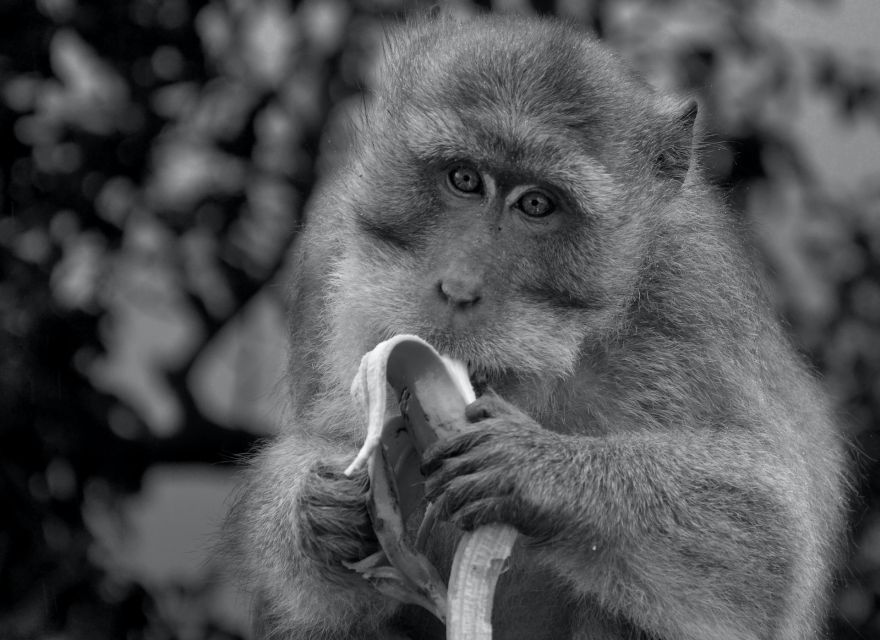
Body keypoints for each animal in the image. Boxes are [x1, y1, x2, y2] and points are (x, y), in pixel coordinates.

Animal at [223, 11, 848, 640]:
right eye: (464, 179)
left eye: (536, 205)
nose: (458, 288)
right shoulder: (328, 247)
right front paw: (319, 512)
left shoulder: (691, 290)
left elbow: (773, 536)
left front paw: (536, 473)